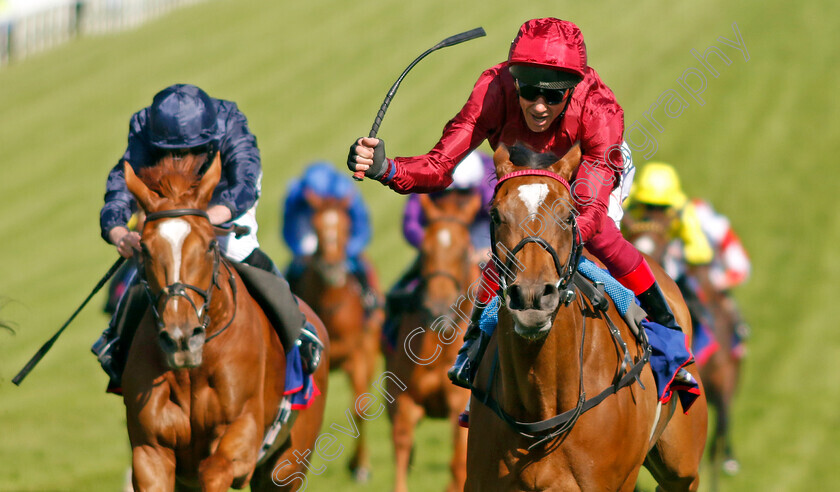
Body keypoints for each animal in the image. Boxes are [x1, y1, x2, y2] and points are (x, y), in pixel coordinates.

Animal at [123, 155, 330, 492]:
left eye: (209, 244)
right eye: (144, 248)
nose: (181, 338)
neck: (193, 371)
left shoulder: (241, 434)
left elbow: (215, 469)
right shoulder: (150, 452)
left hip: (286, 465)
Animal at [288, 190, 380, 482]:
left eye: (347, 228)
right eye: (315, 227)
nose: (331, 268)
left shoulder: (358, 355)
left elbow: (361, 407)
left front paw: (360, 466)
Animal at [386, 191, 480, 492]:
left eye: (463, 252)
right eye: (425, 251)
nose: (438, 309)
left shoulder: (458, 403)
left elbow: (458, 463)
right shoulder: (402, 399)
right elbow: (402, 448)